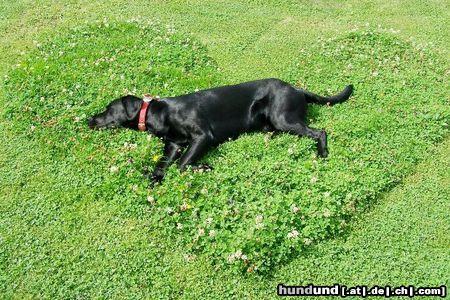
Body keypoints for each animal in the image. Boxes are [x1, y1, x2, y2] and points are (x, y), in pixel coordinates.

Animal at [89, 77, 356, 184]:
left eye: (108, 108)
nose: (90, 120)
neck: (159, 113)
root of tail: (298, 89)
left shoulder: (202, 137)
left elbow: (182, 165)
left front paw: (204, 167)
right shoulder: (173, 144)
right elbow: (162, 165)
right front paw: (153, 179)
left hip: (284, 118)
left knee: (320, 132)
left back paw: (322, 153)